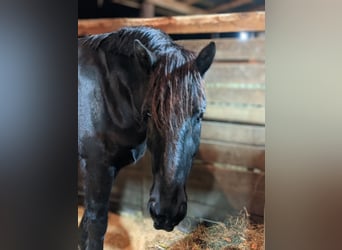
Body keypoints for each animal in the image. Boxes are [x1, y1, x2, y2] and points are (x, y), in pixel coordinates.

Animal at [79, 26, 215, 249]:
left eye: (200, 115)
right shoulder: (96, 166)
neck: (108, 90)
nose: (166, 213)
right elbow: (95, 226)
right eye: (149, 113)